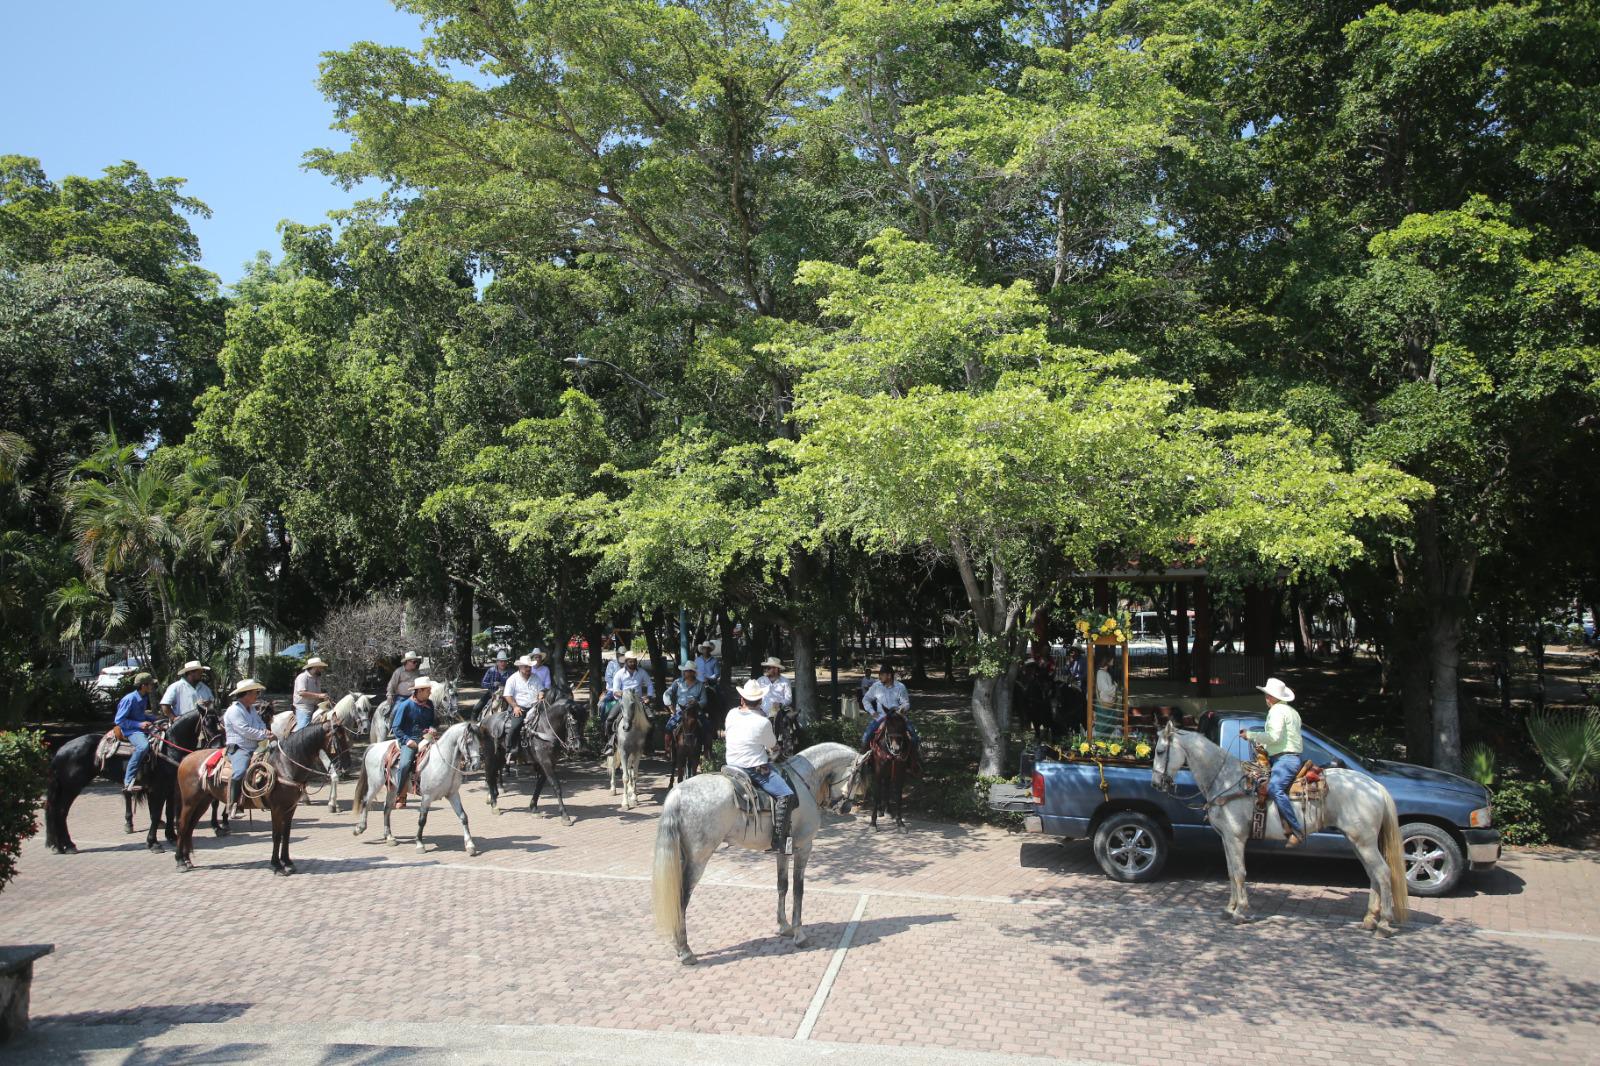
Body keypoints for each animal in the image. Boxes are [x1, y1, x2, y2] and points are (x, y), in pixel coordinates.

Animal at [172, 713, 347, 870]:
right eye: (339, 737)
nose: (345, 766)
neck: (284, 765)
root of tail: (186, 759)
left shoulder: (290, 808)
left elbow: (286, 834)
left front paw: (288, 862)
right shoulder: (277, 808)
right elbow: (276, 835)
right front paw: (276, 865)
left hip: (203, 801)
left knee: (190, 827)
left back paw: (187, 859)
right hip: (189, 802)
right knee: (182, 826)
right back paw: (180, 861)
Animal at [358, 713, 486, 857]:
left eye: (479, 741)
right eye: (469, 742)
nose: (476, 765)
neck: (442, 761)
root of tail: (374, 746)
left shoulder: (453, 794)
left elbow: (463, 816)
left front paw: (470, 845)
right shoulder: (427, 796)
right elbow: (422, 820)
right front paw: (419, 844)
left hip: (393, 787)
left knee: (387, 808)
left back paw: (390, 837)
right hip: (375, 784)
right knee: (366, 801)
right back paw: (359, 828)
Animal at [649, 739, 870, 960]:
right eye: (858, 776)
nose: (845, 808)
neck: (804, 780)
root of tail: (678, 793)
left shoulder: (783, 850)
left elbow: (782, 885)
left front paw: (784, 926)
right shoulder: (804, 847)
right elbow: (798, 890)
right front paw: (799, 934)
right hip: (698, 860)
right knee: (682, 898)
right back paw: (685, 950)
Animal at [1158, 717, 1408, 934]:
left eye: (1160, 751)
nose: (1156, 783)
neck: (1226, 780)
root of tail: (1375, 785)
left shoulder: (1235, 837)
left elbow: (1239, 872)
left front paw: (1240, 911)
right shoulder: (1226, 837)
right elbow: (1231, 872)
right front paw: (1229, 909)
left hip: (1364, 842)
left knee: (1383, 872)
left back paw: (1384, 923)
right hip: (1357, 841)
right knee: (1373, 874)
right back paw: (1370, 919)